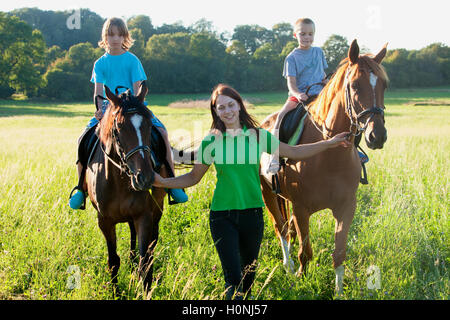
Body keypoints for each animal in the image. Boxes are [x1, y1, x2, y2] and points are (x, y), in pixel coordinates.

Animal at [85, 82, 164, 292]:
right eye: (119, 127)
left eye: (149, 125)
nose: (145, 178)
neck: (119, 181)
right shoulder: (104, 221)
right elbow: (113, 260)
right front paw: (115, 291)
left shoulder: (144, 216)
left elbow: (145, 262)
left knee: (151, 242)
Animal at [260, 40, 390, 296]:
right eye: (354, 85)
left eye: (384, 85)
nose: (377, 136)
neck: (329, 155)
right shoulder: (301, 209)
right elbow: (305, 251)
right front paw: (300, 278)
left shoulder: (346, 207)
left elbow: (339, 253)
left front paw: (339, 292)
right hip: (267, 193)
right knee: (281, 228)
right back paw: (288, 265)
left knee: (287, 228)